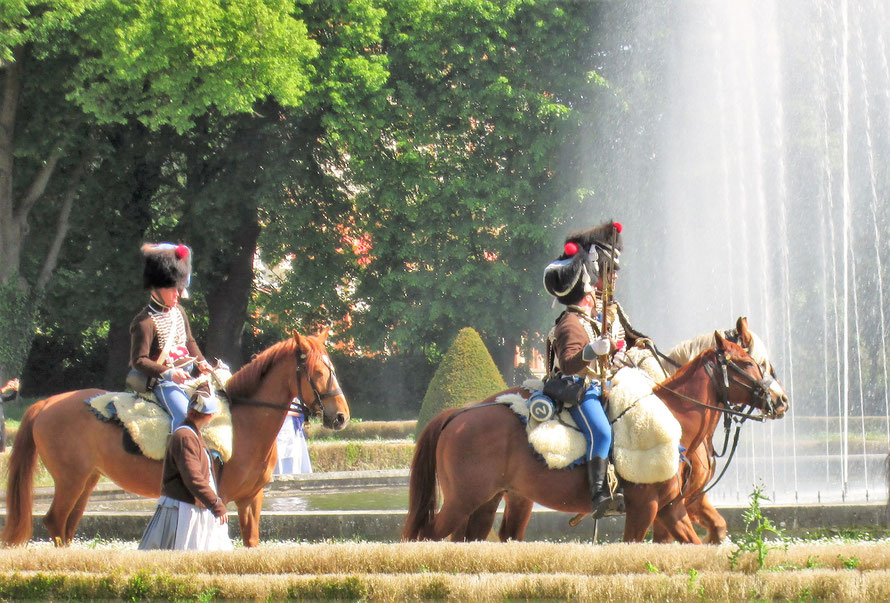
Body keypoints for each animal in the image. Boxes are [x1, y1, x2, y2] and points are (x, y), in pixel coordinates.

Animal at [1, 330, 348, 548]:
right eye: (318, 372)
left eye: (333, 368)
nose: (342, 416)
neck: (244, 422)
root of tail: (47, 403)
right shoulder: (219, 496)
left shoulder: (252, 498)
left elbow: (251, 542)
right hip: (70, 479)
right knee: (55, 521)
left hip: (86, 480)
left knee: (68, 525)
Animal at [402, 332, 784, 544]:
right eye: (746, 363)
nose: (780, 400)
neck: (675, 417)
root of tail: (459, 412)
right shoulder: (645, 508)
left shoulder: (672, 508)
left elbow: (700, 540)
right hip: (461, 500)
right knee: (426, 537)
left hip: (489, 500)